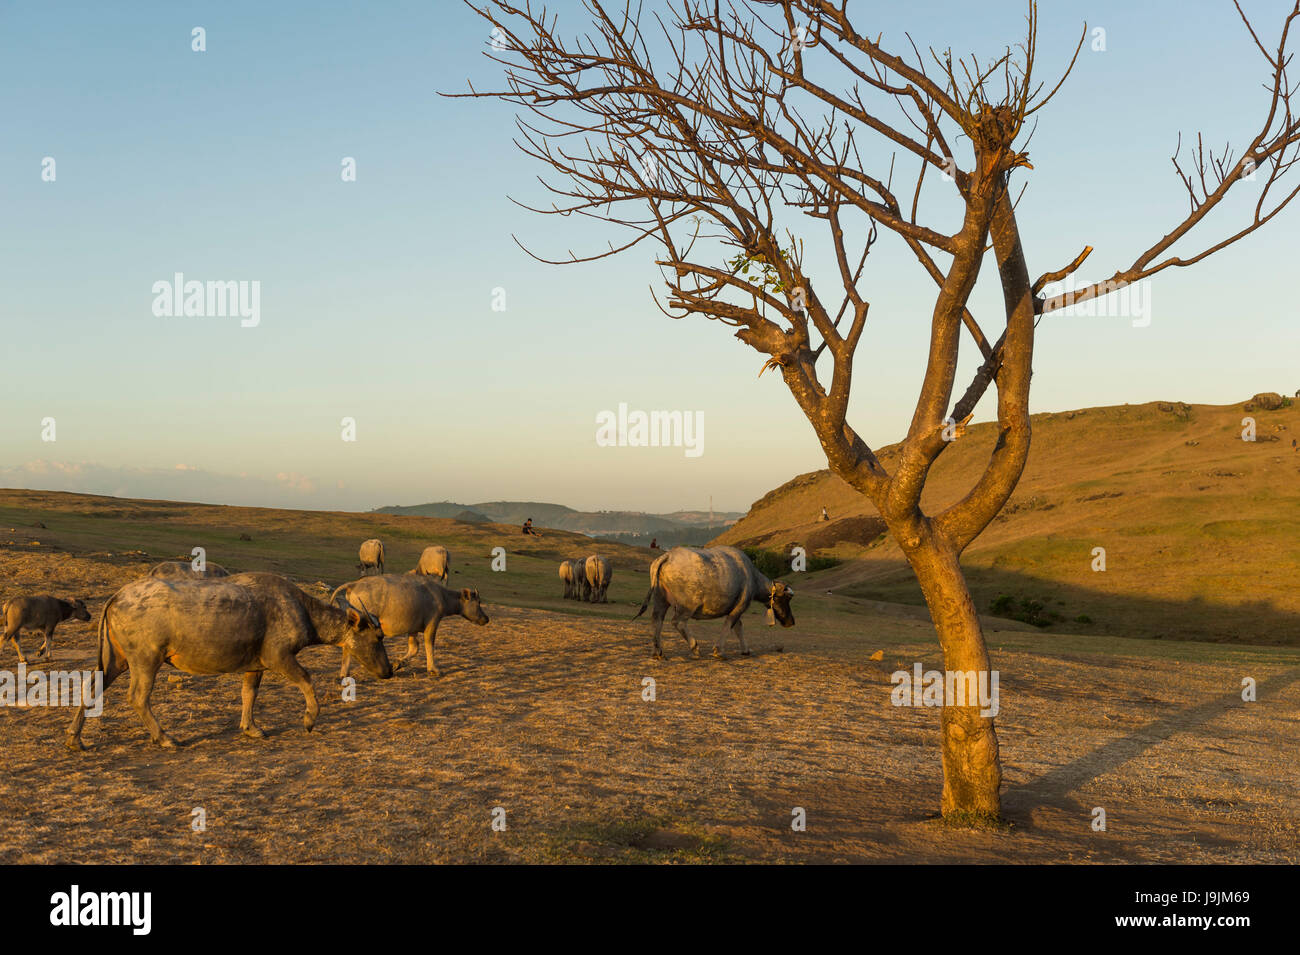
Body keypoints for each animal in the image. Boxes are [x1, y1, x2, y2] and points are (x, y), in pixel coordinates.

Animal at [65, 571, 390, 748]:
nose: (388, 670)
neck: (300, 609)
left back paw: (74, 738)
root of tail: (117, 596)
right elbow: (307, 680)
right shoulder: (279, 658)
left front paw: (251, 727)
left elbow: (249, 694)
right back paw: (165, 737)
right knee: (138, 697)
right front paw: (309, 719)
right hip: (146, 660)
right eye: (378, 637)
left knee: (92, 687)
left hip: (116, 660)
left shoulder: (256, 665)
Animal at [327, 574, 488, 680]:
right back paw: (344, 673)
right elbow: (429, 645)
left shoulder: (413, 629)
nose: (486, 619)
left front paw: (396, 664)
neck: (441, 595)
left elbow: (414, 648)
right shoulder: (432, 624)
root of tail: (353, 584)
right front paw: (433, 669)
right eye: (478, 602)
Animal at [631, 548, 790, 660]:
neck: (753, 578)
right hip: (687, 606)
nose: (791, 622)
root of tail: (668, 556)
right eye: (786, 598)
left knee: (657, 620)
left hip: (661, 599)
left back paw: (657, 651)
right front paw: (719, 651)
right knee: (678, 622)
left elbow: (738, 627)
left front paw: (745, 650)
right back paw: (694, 648)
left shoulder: (736, 609)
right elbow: (729, 625)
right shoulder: (739, 607)